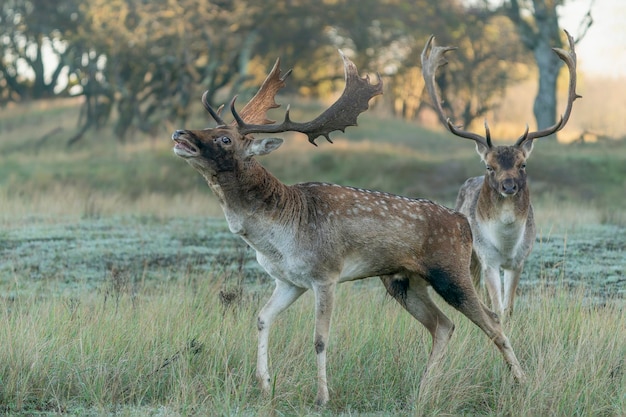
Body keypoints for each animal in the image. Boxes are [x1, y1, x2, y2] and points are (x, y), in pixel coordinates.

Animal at [169, 50, 520, 404]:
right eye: (211, 127)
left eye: (225, 138)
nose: (179, 134)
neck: (277, 235)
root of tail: (463, 222)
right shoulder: (288, 281)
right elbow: (262, 319)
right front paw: (265, 385)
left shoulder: (325, 274)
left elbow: (320, 338)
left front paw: (322, 397)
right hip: (403, 282)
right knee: (443, 325)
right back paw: (421, 391)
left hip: (450, 271)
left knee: (492, 320)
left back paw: (521, 381)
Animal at [420, 29, 580, 316]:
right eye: (489, 166)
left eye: (522, 164)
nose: (508, 186)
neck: (506, 245)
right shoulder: (488, 259)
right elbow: (496, 305)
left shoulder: (520, 260)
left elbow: (509, 307)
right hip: (469, 251)